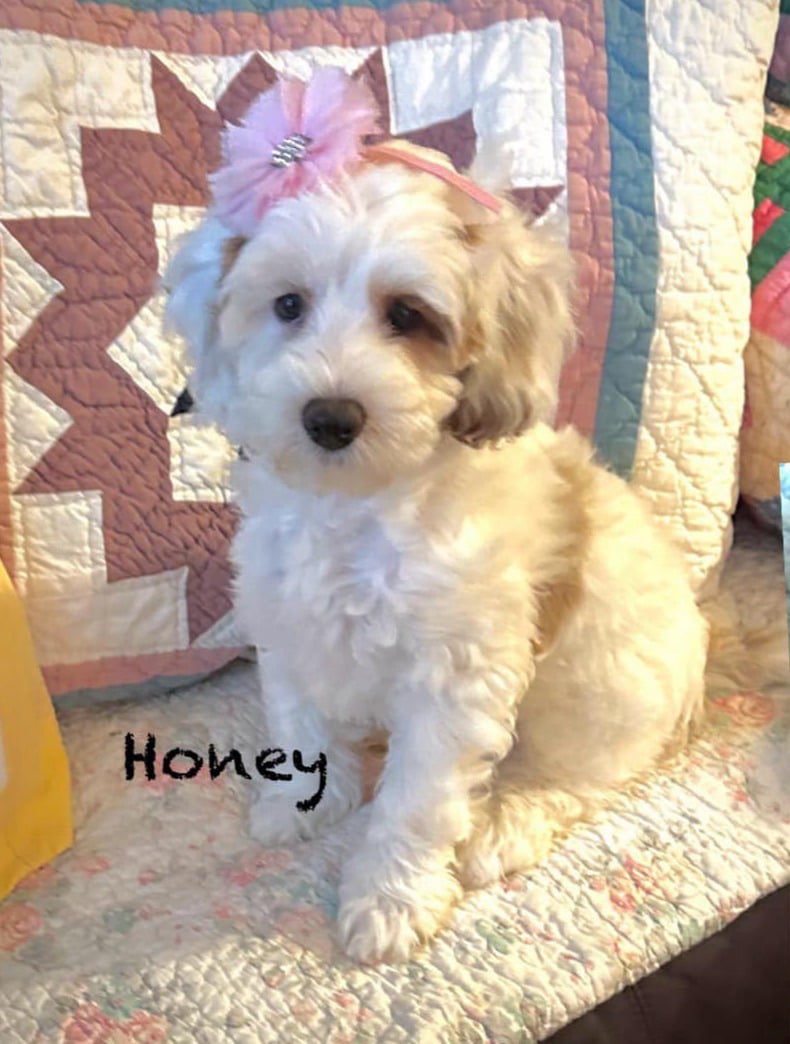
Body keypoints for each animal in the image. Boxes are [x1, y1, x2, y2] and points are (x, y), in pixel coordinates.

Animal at [164, 96, 708, 963]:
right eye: (288, 305)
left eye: (408, 316)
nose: (330, 416)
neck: (355, 509)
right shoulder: (287, 617)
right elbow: (300, 714)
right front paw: (304, 800)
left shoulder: (454, 676)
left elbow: (415, 802)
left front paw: (389, 899)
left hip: (595, 690)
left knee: (576, 777)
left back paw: (505, 823)